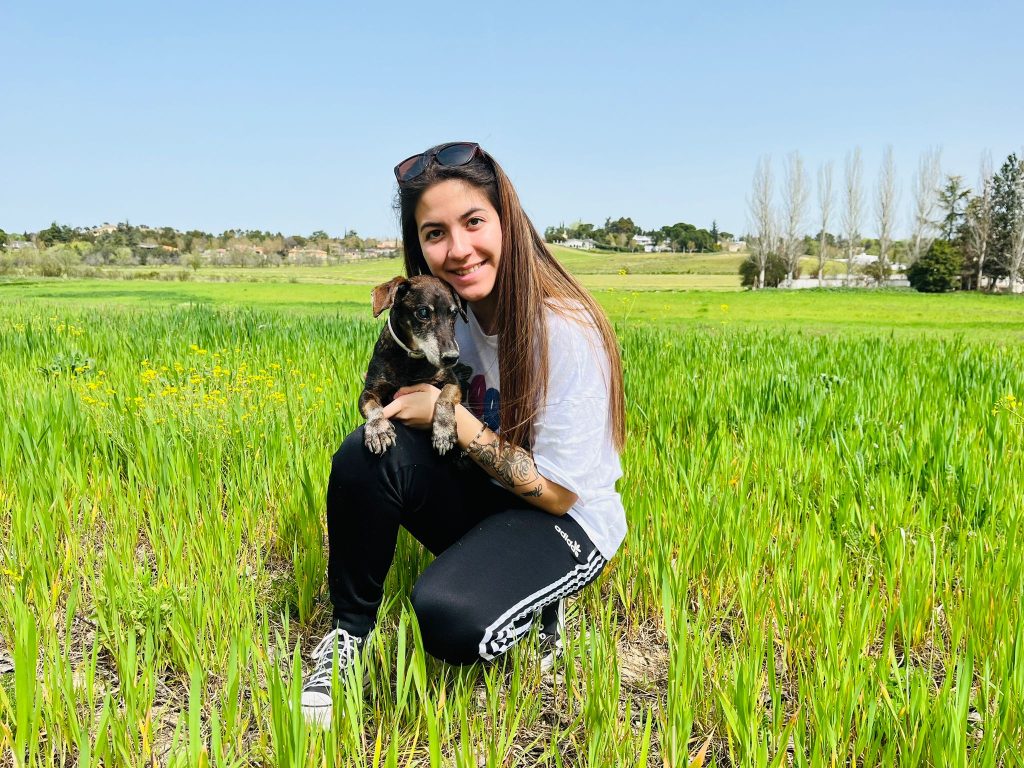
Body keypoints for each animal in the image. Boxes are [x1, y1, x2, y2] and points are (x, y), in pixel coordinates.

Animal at [362, 276, 468, 456]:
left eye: (454, 313)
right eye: (423, 312)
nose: (452, 357)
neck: (412, 360)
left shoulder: (452, 382)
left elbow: (444, 398)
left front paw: (443, 431)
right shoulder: (369, 391)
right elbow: (373, 407)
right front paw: (378, 431)